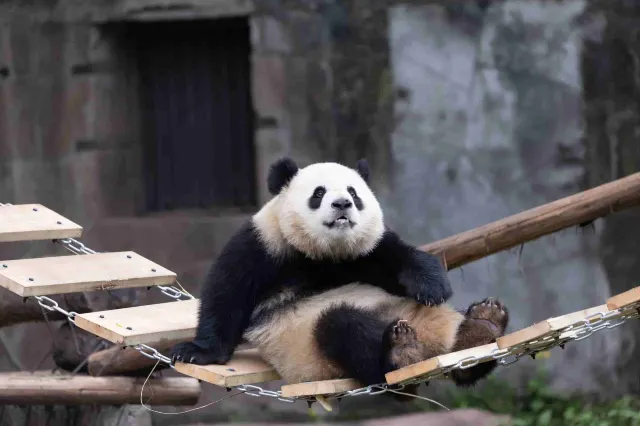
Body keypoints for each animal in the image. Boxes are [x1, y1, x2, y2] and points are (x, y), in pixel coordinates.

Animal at [171, 157, 510, 392]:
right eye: (318, 193)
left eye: (354, 192)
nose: (342, 204)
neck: (324, 253)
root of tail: (434, 345)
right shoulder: (263, 243)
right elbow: (227, 294)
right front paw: (196, 352)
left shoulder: (367, 251)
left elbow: (401, 257)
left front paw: (432, 285)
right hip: (315, 349)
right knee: (344, 328)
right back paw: (403, 351)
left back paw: (482, 324)